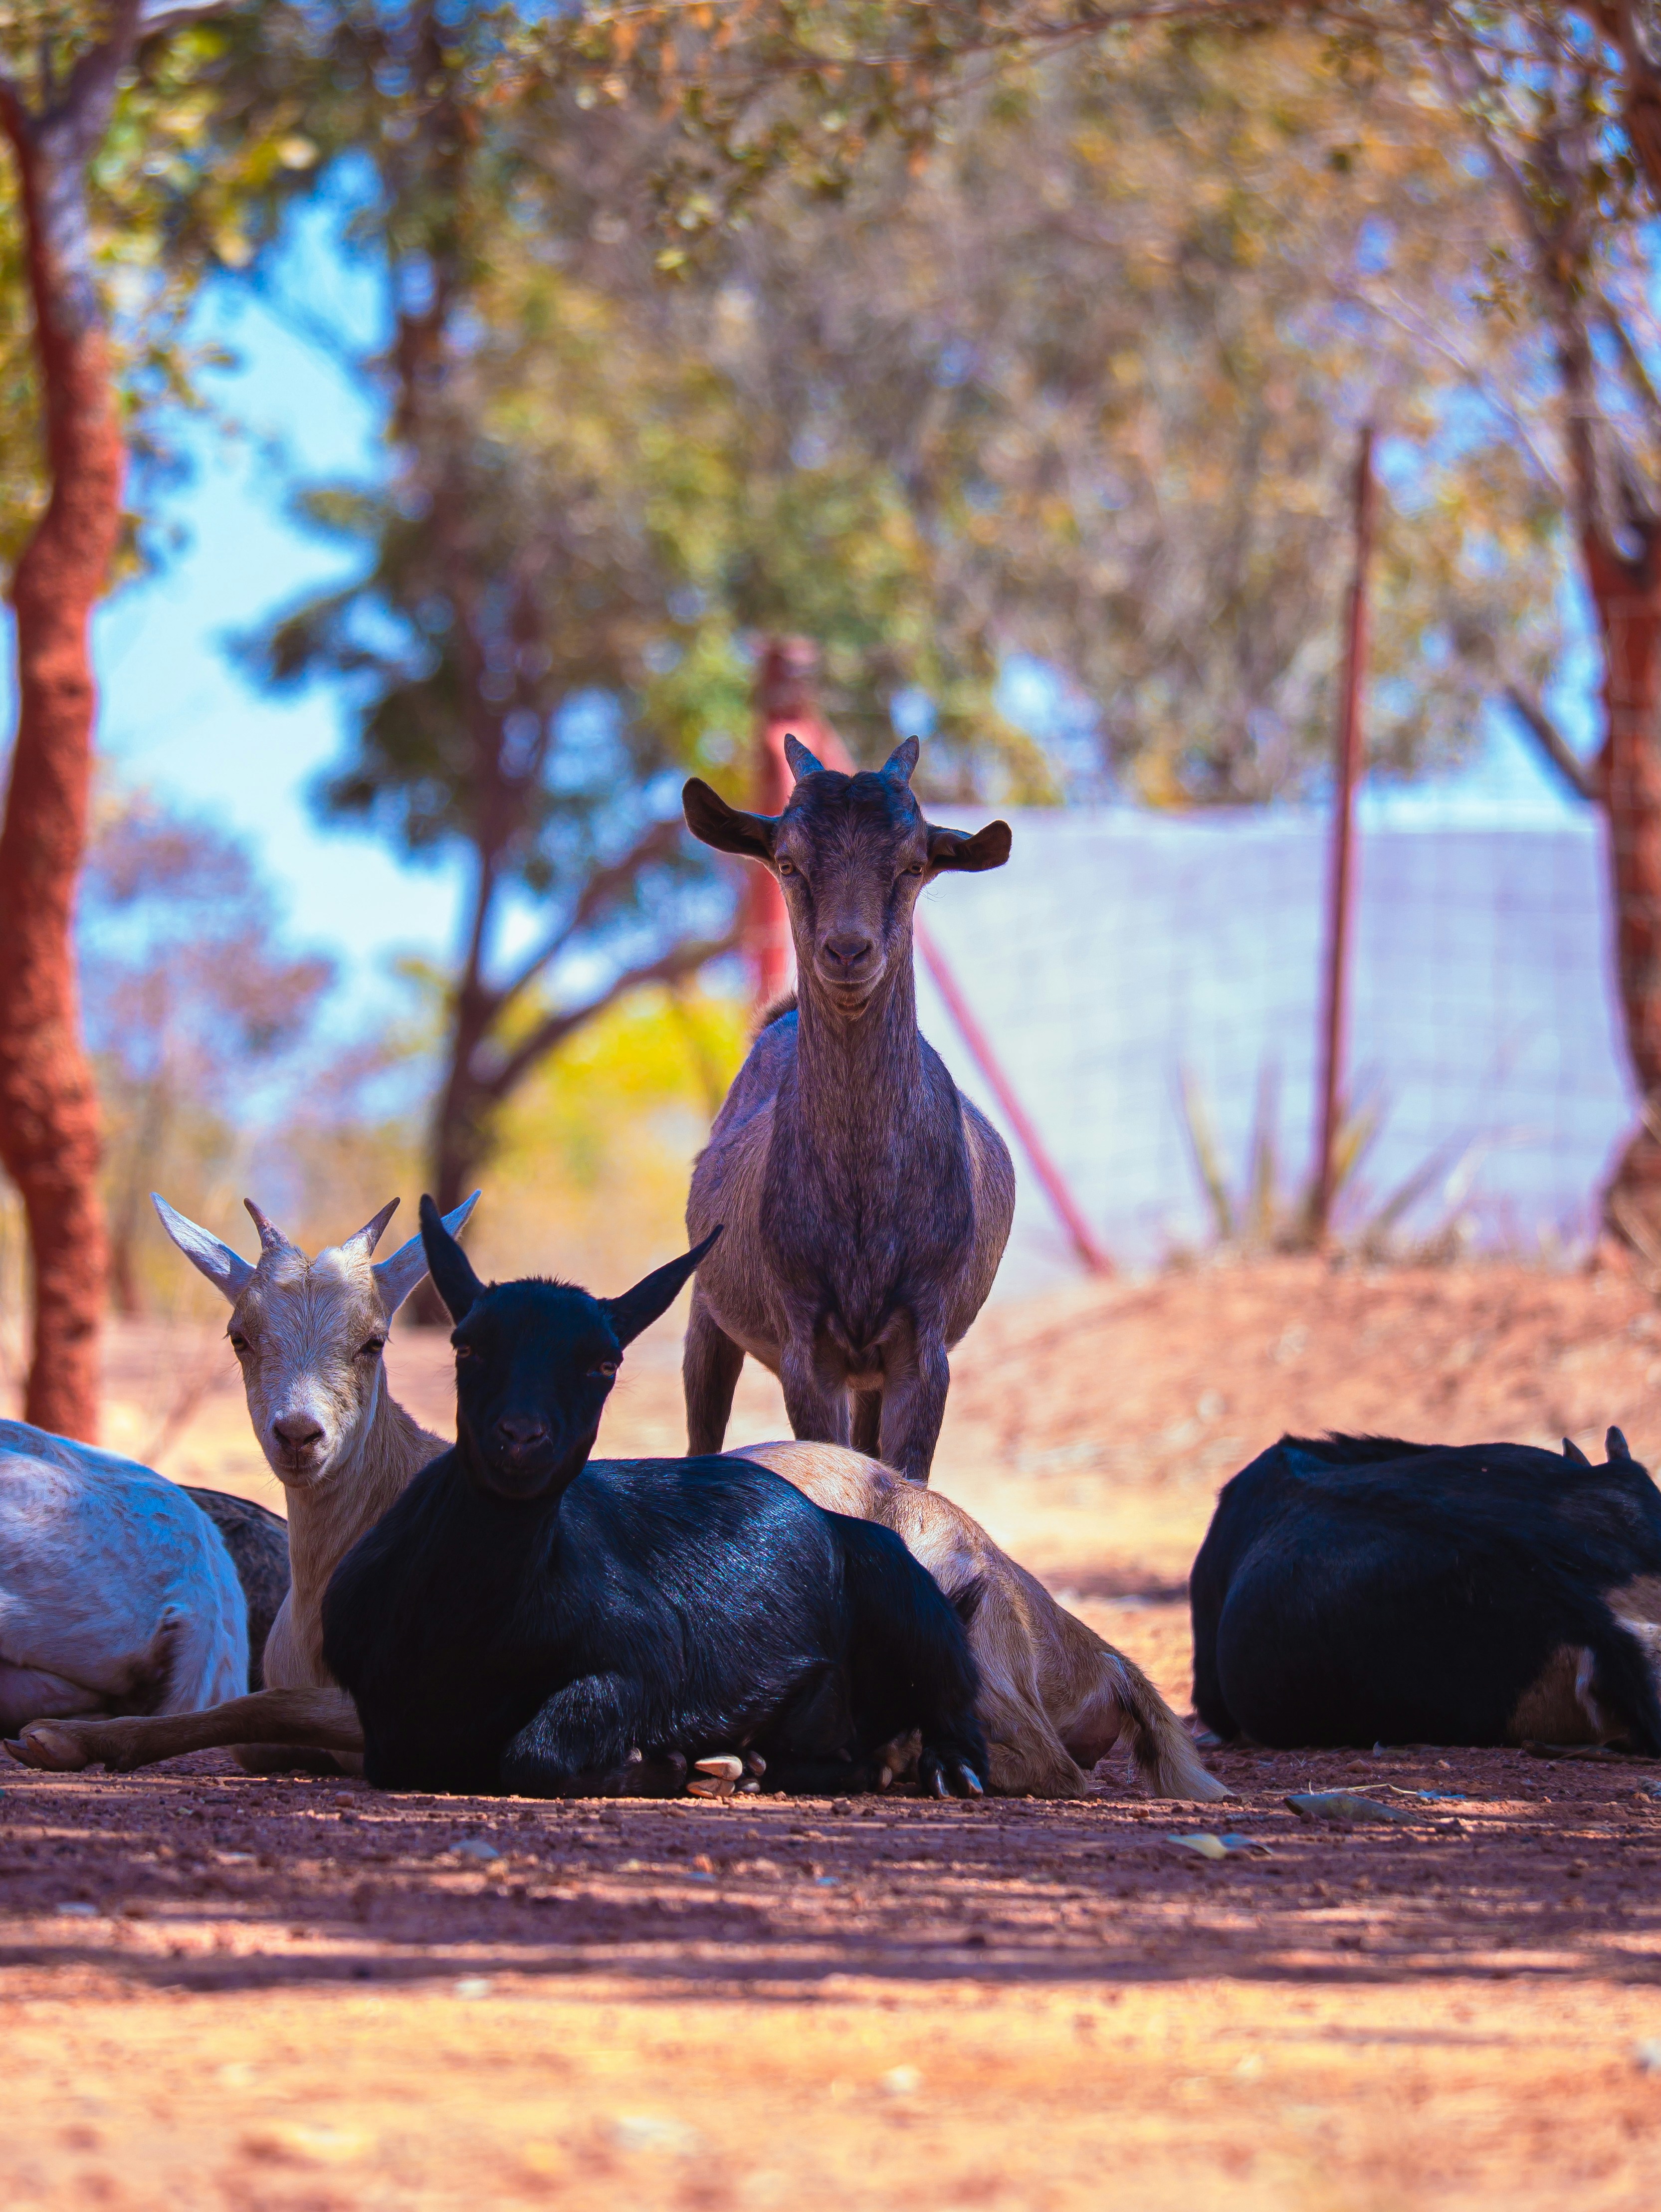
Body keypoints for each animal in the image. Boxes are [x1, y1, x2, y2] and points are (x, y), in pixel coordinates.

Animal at [321, 1201, 990, 1798]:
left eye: (605, 1362)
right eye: (466, 1346)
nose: (521, 1436)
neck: (472, 1627)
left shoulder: (651, 1663)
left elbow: (533, 1755)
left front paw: (657, 1765)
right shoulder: (385, 1727)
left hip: (907, 1597)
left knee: (955, 1694)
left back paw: (947, 1769)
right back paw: (765, 1766)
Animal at [681, 735, 1015, 1484]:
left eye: (915, 863)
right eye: (786, 860)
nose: (847, 950)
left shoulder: (921, 1344)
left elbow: (906, 1473)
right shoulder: (808, 1345)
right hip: (707, 1310)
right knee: (700, 1431)